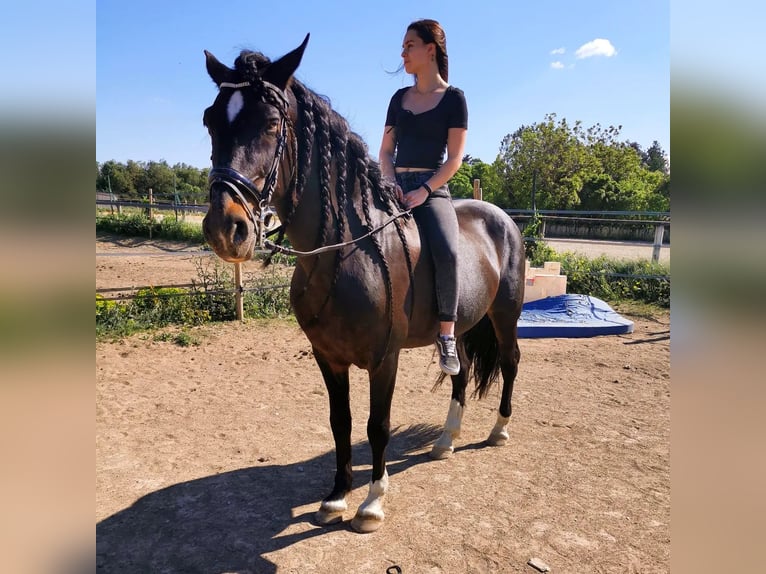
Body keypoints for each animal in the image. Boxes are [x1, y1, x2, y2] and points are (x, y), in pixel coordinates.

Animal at [202, 33, 528, 532]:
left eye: (272, 124)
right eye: (210, 122)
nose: (226, 228)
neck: (346, 254)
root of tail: (503, 219)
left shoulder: (383, 358)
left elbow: (378, 425)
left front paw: (372, 502)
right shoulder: (327, 357)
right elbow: (341, 422)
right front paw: (337, 496)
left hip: (505, 314)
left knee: (510, 361)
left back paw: (499, 430)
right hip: (464, 323)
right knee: (461, 371)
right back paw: (446, 441)